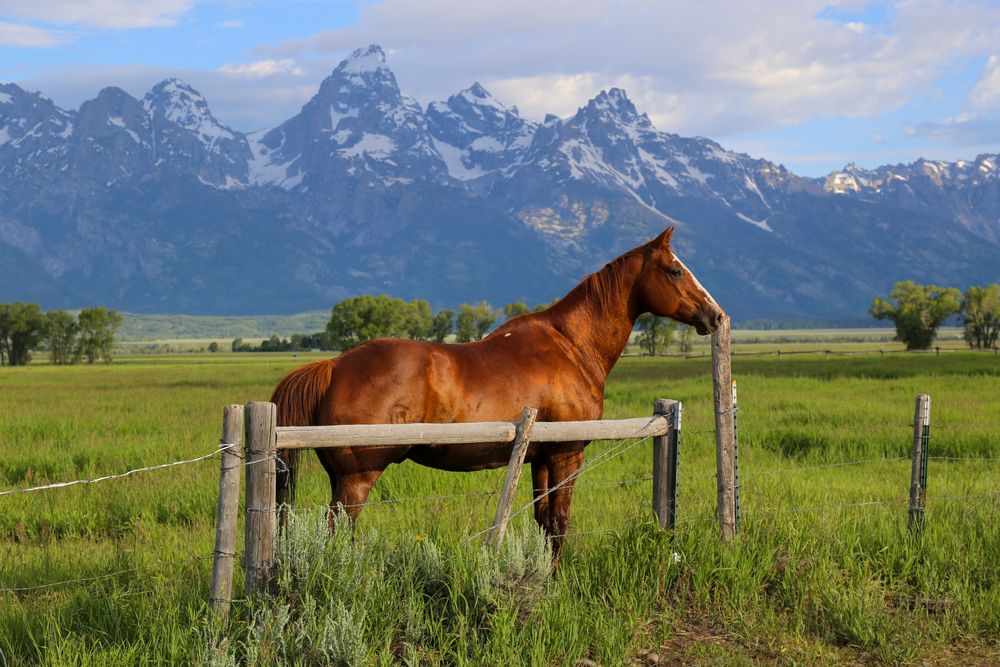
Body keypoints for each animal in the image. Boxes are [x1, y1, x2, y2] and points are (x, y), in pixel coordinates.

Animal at [271, 226, 724, 559]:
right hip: (357, 480)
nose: (715, 315)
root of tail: (335, 366)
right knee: (337, 533)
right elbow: (560, 523)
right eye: (674, 270)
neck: (571, 345)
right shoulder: (567, 455)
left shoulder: (540, 458)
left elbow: (544, 521)